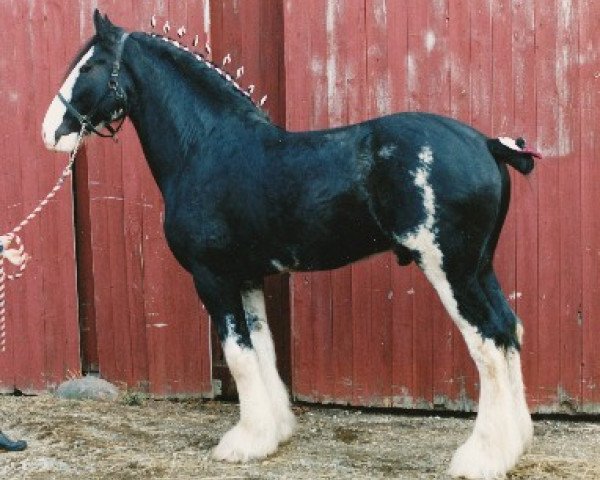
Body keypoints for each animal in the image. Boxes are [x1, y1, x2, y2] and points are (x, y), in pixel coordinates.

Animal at [42, 11, 540, 480]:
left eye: (90, 66)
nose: (49, 132)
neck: (205, 146)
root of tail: (487, 144)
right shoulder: (246, 277)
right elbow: (261, 350)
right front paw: (270, 434)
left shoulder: (213, 277)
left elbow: (237, 354)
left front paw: (241, 444)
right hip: (479, 267)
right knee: (508, 329)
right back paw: (513, 447)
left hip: (450, 269)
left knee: (488, 341)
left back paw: (480, 458)